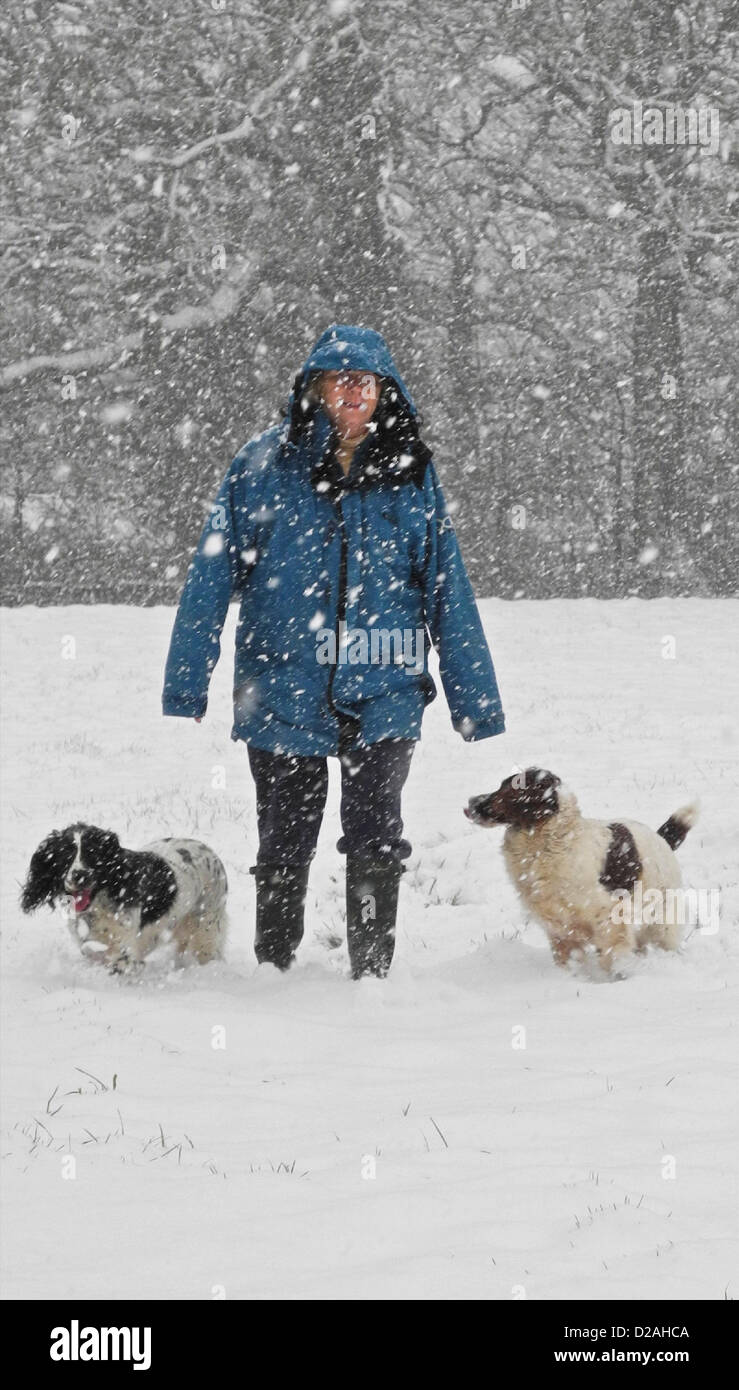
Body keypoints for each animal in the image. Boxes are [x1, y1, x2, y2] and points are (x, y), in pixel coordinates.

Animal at [21, 828, 226, 973]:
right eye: (65, 856)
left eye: (93, 854)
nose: (80, 875)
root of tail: (211, 853)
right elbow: (91, 950)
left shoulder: (125, 944)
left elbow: (121, 961)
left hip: (205, 926)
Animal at [463, 772, 694, 978]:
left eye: (509, 789)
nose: (470, 802)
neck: (551, 840)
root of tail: (661, 839)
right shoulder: (560, 928)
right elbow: (568, 956)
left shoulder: (609, 915)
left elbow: (615, 951)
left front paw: (619, 973)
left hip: (662, 921)